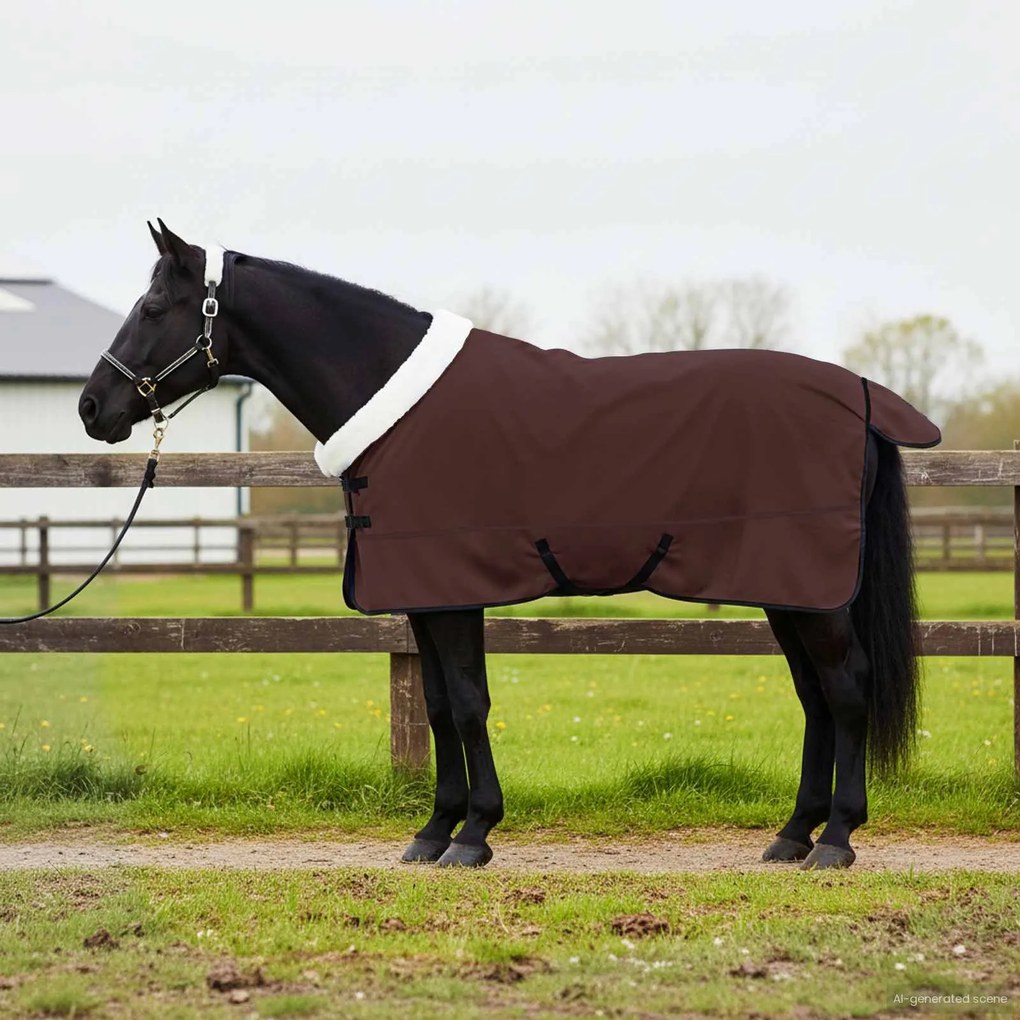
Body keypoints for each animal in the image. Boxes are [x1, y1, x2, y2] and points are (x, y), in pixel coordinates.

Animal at [79, 221, 940, 870]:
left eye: (154, 305)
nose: (92, 406)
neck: (394, 405)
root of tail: (861, 397)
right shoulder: (423, 597)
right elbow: (434, 706)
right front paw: (434, 832)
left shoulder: (454, 592)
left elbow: (466, 704)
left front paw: (474, 835)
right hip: (786, 588)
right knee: (815, 698)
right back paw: (791, 836)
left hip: (812, 591)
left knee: (847, 690)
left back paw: (835, 839)